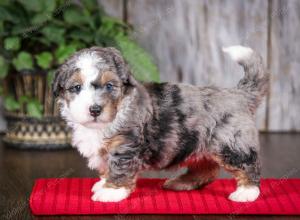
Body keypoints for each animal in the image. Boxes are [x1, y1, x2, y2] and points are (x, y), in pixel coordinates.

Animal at [52, 44, 270, 203]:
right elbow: (107, 166)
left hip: (232, 144)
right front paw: (103, 183)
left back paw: (247, 192)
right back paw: (181, 182)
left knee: (248, 165)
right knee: (206, 169)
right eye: (76, 87)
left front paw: (111, 191)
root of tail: (239, 94)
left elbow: (119, 168)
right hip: (198, 144)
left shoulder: (126, 146)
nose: (95, 109)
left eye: (109, 86)